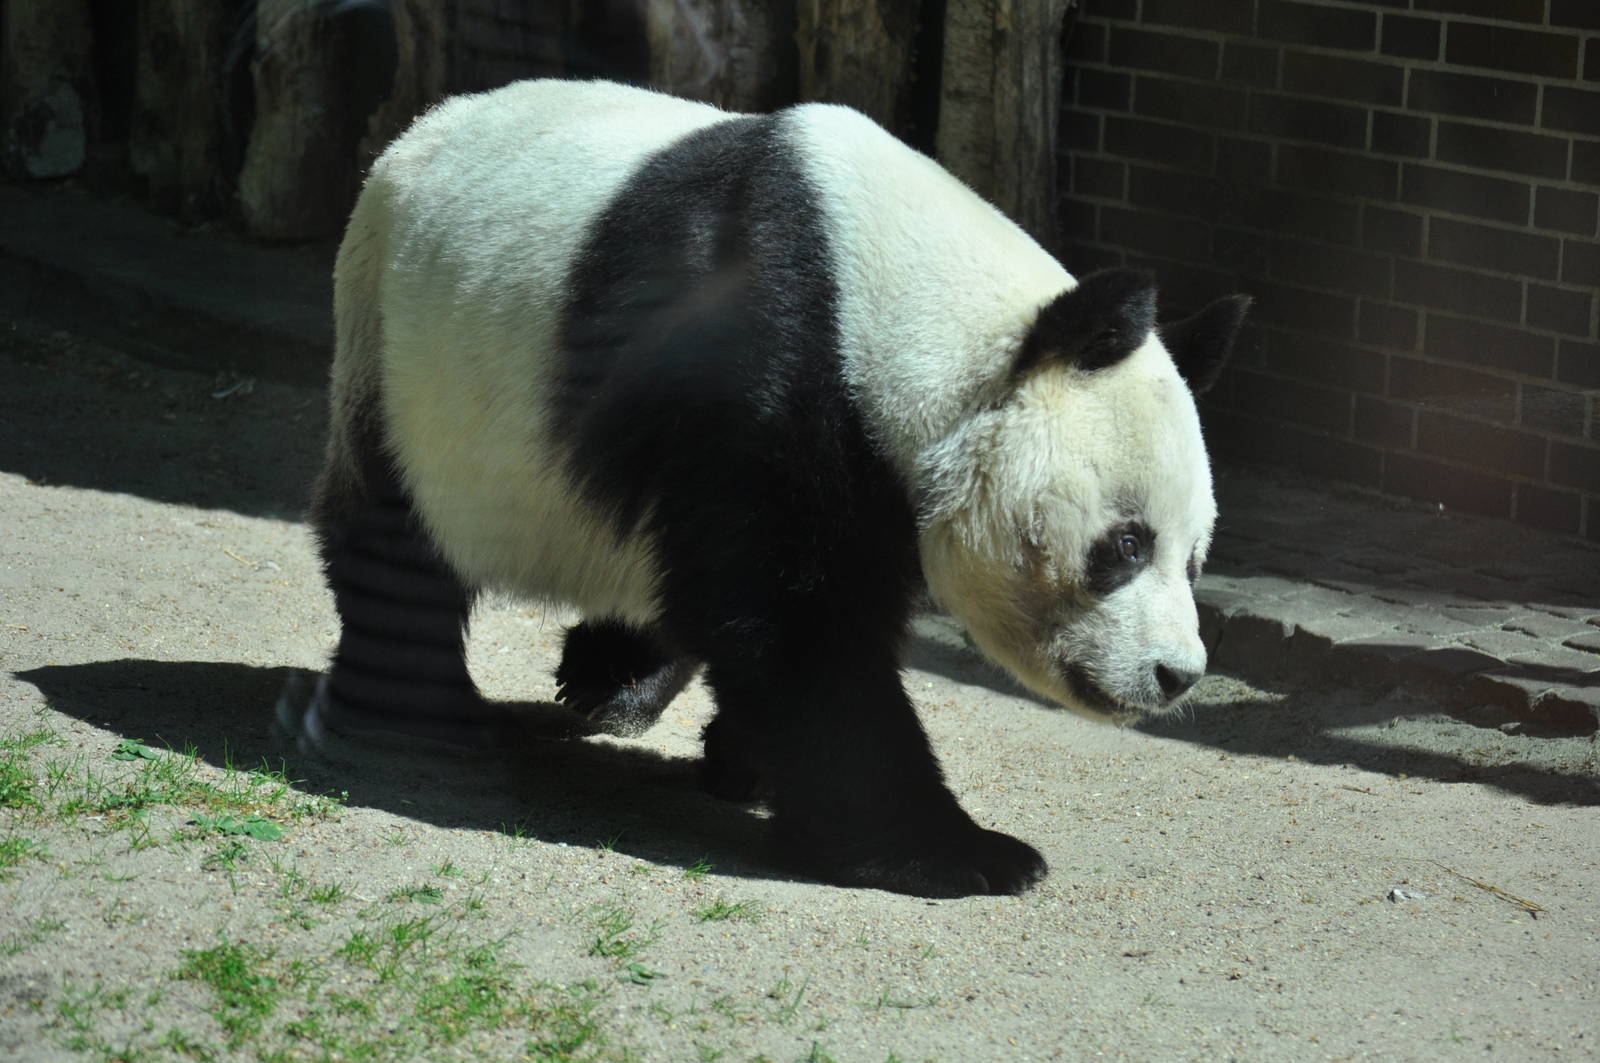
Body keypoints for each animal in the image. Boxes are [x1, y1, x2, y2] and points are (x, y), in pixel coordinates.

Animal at [311, 78, 1248, 898]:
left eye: (1196, 559)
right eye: (1124, 544)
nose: (1176, 674)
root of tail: (413, 133)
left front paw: (748, 765)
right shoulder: (773, 362)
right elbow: (795, 617)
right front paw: (962, 854)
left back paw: (613, 680)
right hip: (400, 352)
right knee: (396, 543)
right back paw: (425, 713)